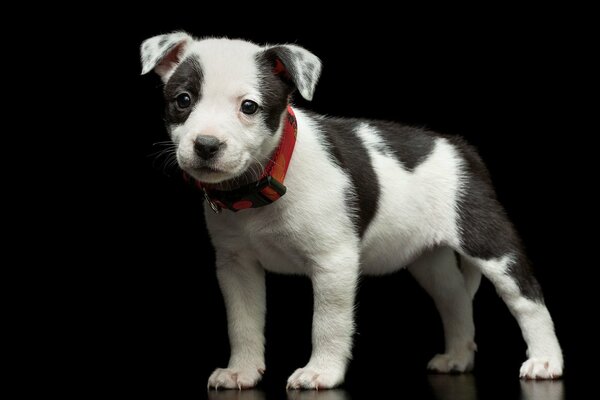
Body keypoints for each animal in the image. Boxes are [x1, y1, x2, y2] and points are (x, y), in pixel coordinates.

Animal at [141, 32, 564, 390]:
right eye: (183, 100)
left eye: (249, 107)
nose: (206, 145)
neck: (266, 178)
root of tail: (462, 148)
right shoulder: (236, 265)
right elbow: (242, 322)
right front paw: (241, 371)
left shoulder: (334, 262)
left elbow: (328, 322)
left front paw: (321, 372)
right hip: (429, 260)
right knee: (455, 299)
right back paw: (458, 357)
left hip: (489, 241)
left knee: (528, 300)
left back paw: (545, 361)